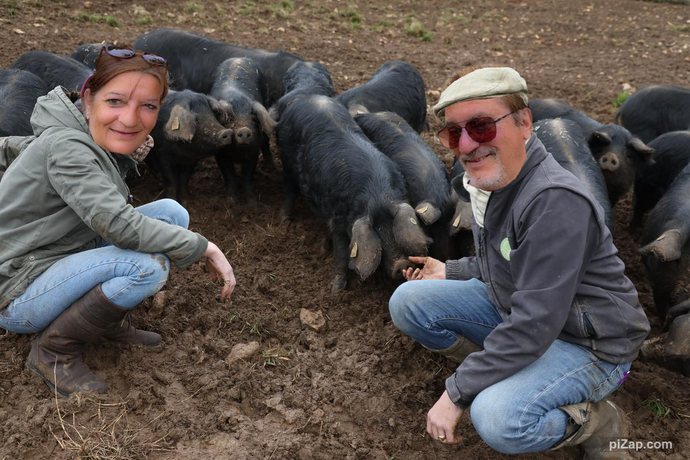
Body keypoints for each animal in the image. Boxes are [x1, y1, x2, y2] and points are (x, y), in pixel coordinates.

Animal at [274, 95, 430, 292]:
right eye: (377, 231)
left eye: (393, 227)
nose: (402, 264)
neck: (376, 195)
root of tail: (304, 98)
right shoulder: (338, 219)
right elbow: (342, 252)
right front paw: (336, 290)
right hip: (286, 159)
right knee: (289, 188)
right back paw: (284, 221)